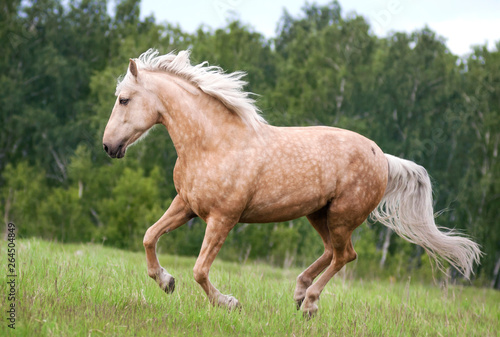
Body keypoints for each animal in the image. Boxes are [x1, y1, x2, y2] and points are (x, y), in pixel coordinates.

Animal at [103, 50, 482, 316]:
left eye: (124, 99)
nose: (108, 146)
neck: (213, 143)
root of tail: (383, 157)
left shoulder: (223, 218)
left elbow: (198, 270)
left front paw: (229, 303)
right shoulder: (186, 205)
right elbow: (149, 236)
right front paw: (166, 281)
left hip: (343, 216)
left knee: (345, 255)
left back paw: (310, 303)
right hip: (318, 214)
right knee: (332, 252)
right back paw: (300, 293)